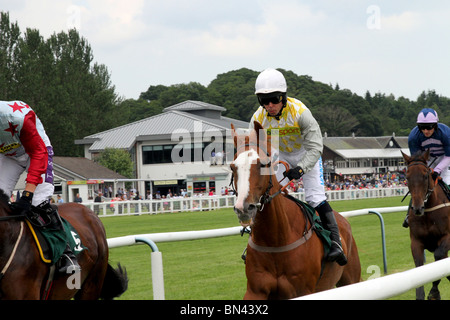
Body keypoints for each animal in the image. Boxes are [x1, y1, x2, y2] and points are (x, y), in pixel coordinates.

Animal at [230, 122, 360, 300]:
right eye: (232, 167)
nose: (243, 208)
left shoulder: (302, 290)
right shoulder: (255, 290)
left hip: (351, 278)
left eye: (262, 164)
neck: (275, 240)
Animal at [400, 150, 450, 300]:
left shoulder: (447, 237)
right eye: (407, 176)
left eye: (425, 175)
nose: (417, 208)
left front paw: (434, 291)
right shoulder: (416, 241)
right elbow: (420, 268)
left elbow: (439, 257)